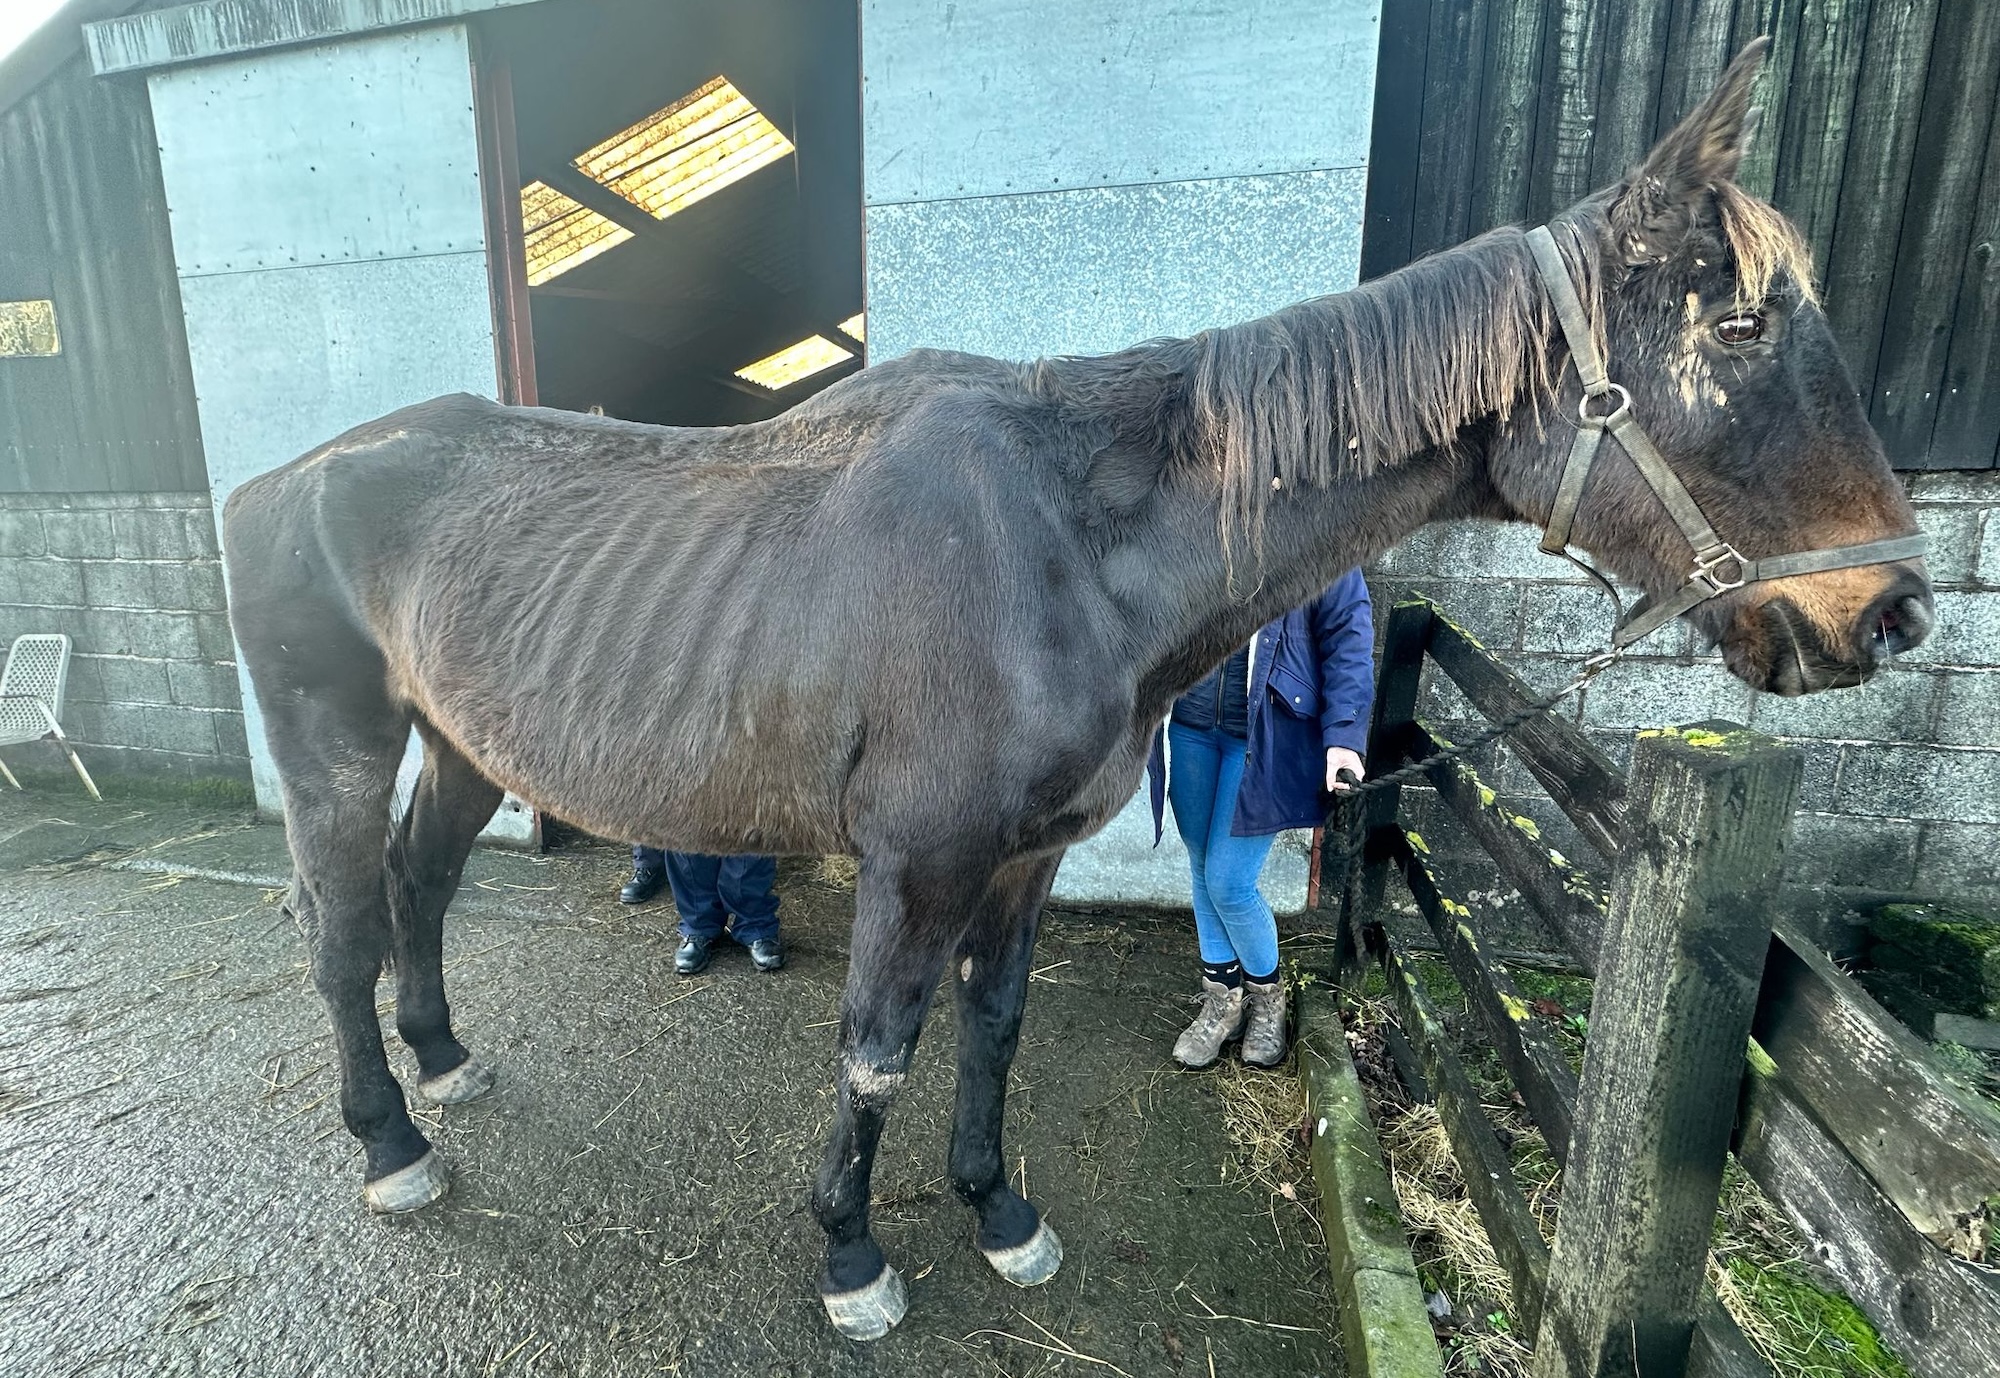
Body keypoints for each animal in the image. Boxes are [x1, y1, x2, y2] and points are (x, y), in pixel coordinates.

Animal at [221, 41, 1931, 1340]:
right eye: (1737, 322)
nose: (1894, 609)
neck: (1062, 539)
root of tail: (275, 475)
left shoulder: (1024, 860)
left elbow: (992, 1031)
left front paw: (1001, 1210)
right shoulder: (916, 862)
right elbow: (879, 1047)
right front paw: (853, 1260)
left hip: (461, 742)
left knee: (422, 887)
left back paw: (445, 1060)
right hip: (334, 740)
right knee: (342, 924)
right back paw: (391, 1140)